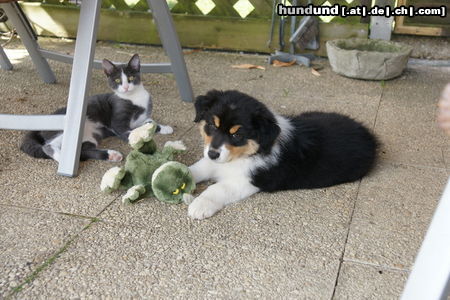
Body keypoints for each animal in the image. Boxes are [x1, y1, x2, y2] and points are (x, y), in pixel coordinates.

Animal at [19, 53, 171, 162]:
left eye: (131, 78)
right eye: (117, 80)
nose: (126, 87)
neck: (134, 97)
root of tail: (39, 127)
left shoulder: (142, 118)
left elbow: (150, 122)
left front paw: (165, 128)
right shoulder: (118, 121)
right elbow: (128, 131)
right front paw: (139, 139)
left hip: (91, 136)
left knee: (84, 150)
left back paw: (112, 155)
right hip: (65, 128)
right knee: (49, 145)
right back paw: (61, 156)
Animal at [188, 90, 378, 219]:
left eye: (237, 135)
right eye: (212, 126)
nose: (213, 154)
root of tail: (367, 134)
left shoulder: (251, 180)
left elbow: (218, 188)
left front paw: (200, 205)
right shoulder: (213, 161)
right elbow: (195, 169)